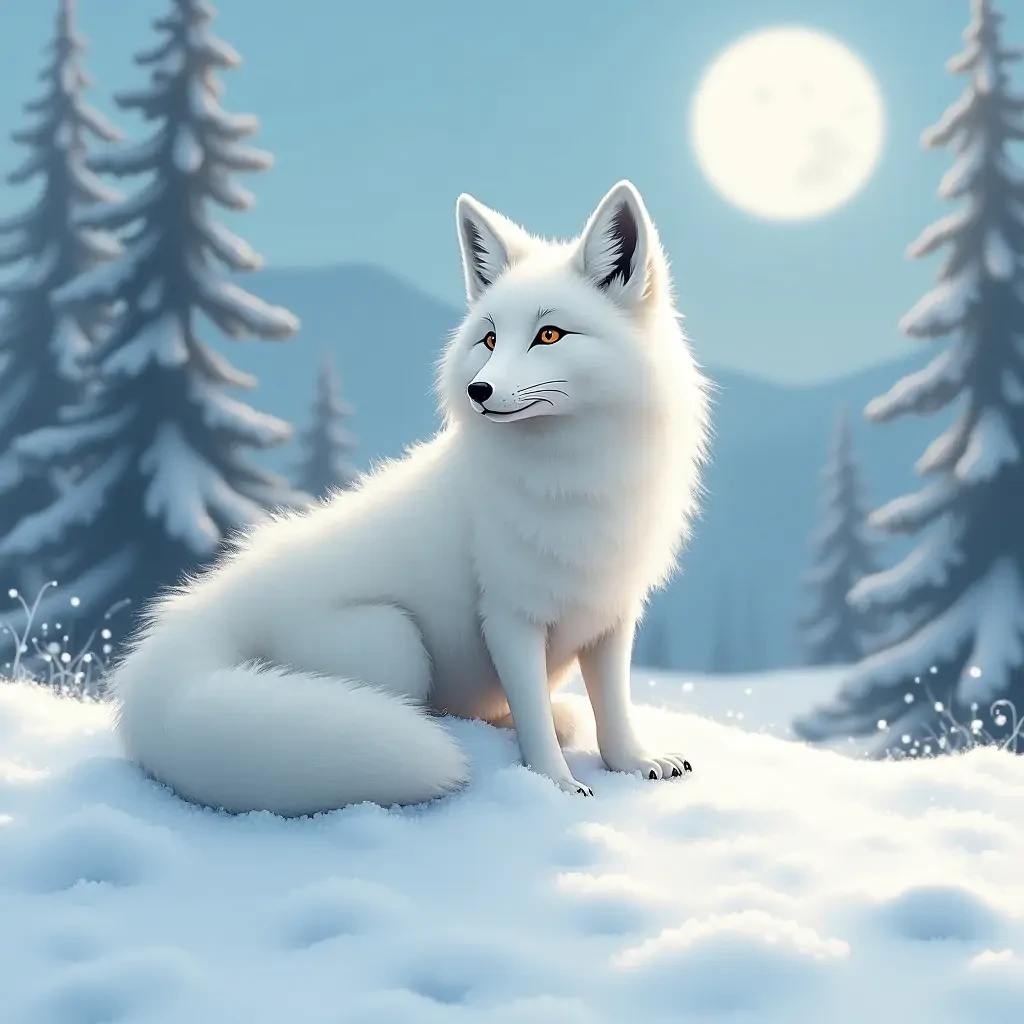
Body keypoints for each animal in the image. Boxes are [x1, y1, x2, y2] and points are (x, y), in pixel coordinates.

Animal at [109, 180, 710, 816]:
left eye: (549, 335)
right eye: (489, 339)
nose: (478, 390)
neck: (575, 481)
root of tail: (211, 603)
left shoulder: (611, 612)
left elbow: (614, 708)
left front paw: (635, 763)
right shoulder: (508, 616)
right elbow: (534, 721)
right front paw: (556, 785)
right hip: (394, 639)